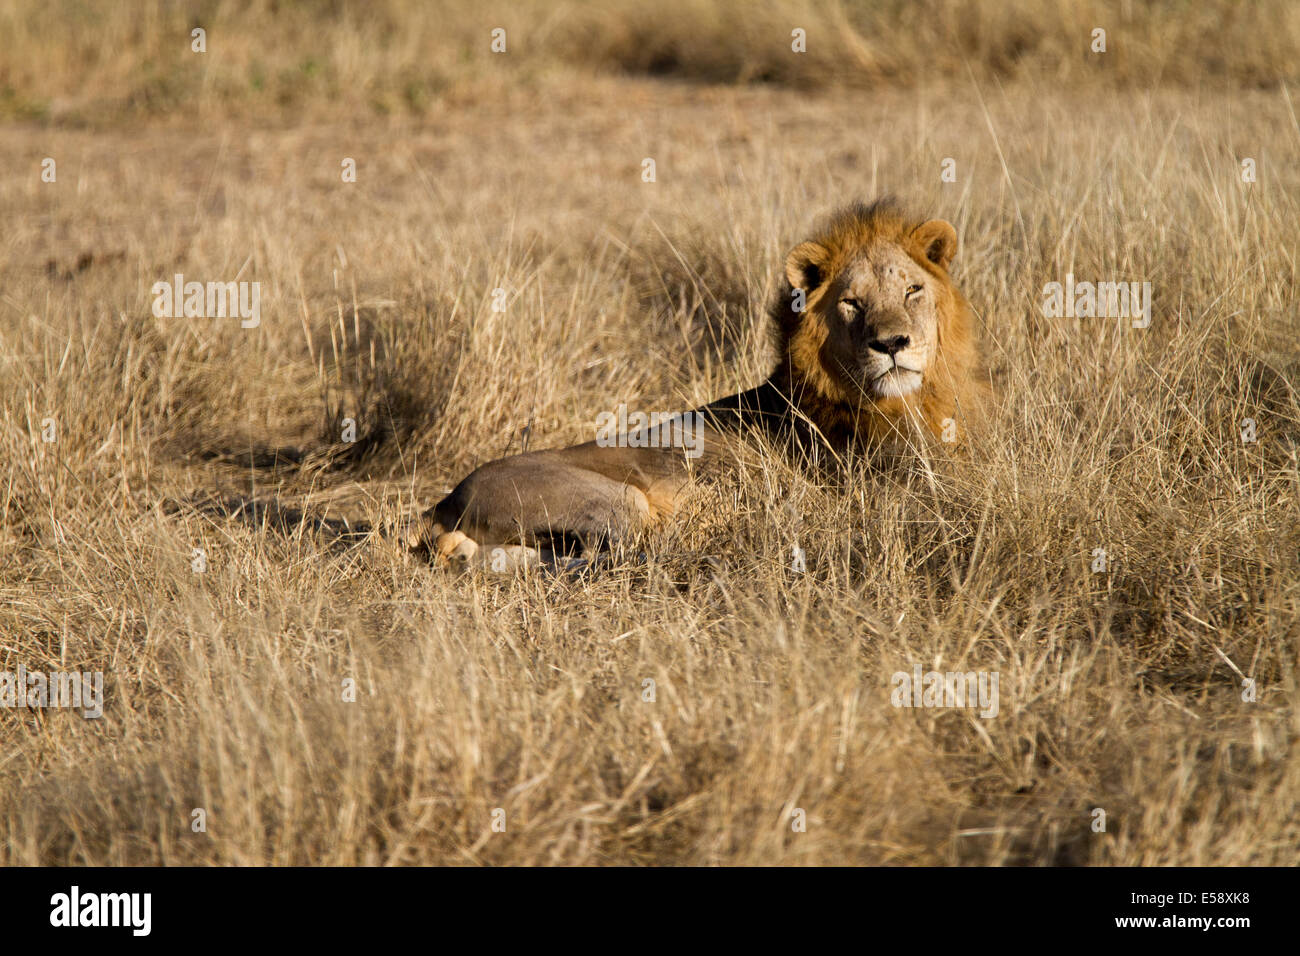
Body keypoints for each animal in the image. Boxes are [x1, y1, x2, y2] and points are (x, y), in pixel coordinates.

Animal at [410, 196, 987, 567]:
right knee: (617, 556)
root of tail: (445, 502)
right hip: (621, 503)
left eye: (912, 290)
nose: (892, 344)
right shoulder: (881, 490)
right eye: (852, 303)